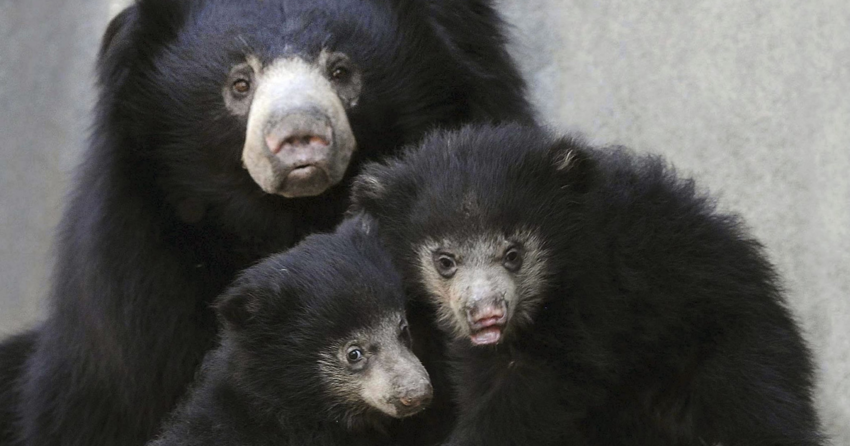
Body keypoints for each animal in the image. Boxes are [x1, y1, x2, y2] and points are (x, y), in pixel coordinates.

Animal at [352, 123, 820, 446]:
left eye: (513, 254)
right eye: (445, 261)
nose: (487, 313)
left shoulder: (597, 297)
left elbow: (548, 380)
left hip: (729, 349)